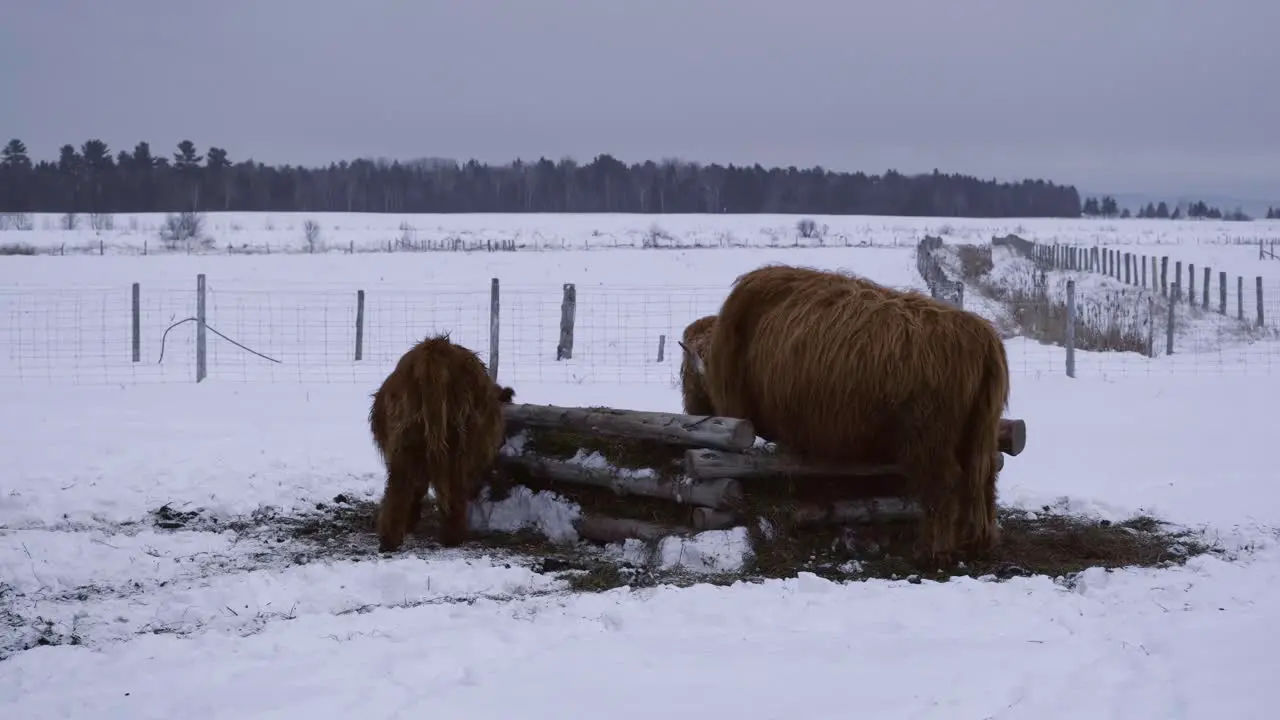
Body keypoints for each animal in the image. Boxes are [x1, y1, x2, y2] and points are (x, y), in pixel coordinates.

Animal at [368, 333, 512, 548]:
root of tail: (435, 350)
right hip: (453, 445)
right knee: (446, 490)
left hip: (414, 444)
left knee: (401, 489)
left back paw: (392, 539)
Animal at [691, 263, 1008, 566]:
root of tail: (983, 338)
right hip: (980, 430)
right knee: (983, 477)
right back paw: (979, 543)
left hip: (929, 436)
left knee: (944, 483)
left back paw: (932, 553)